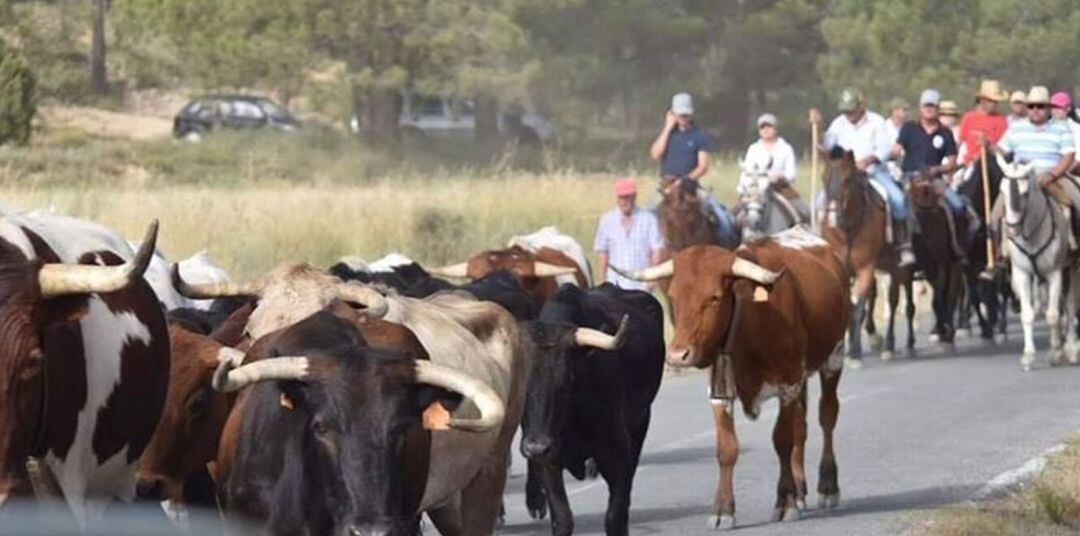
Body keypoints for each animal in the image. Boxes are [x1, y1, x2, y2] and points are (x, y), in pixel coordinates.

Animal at [518, 283, 660, 533]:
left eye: (568, 380)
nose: (536, 446)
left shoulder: (618, 454)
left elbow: (615, 516)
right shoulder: (548, 461)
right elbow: (562, 519)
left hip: (642, 419)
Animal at [617, 224, 851, 527]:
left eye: (714, 298)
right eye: (674, 298)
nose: (678, 355)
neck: (751, 319)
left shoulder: (787, 385)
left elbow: (782, 441)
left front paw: (785, 502)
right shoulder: (720, 393)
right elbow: (727, 449)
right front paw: (723, 509)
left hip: (834, 358)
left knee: (827, 418)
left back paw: (827, 487)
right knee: (802, 427)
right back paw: (800, 490)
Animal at [820, 146, 915, 365]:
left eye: (847, 179)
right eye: (824, 178)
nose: (831, 218)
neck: (848, 229)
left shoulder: (865, 267)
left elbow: (857, 309)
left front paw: (854, 354)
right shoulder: (844, 270)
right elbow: (850, 307)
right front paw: (847, 351)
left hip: (897, 268)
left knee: (893, 300)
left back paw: (889, 345)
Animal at [993, 156, 1080, 369]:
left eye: (1025, 193)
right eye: (1002, 190)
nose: (1012, 229)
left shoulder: (1054, 272)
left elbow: (1053, 315)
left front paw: (1056, 352)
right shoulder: (1022, 274)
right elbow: (1027, 314)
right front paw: (1028, 355)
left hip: (1071, 267)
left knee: (1070, 305)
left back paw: (1071, 348)